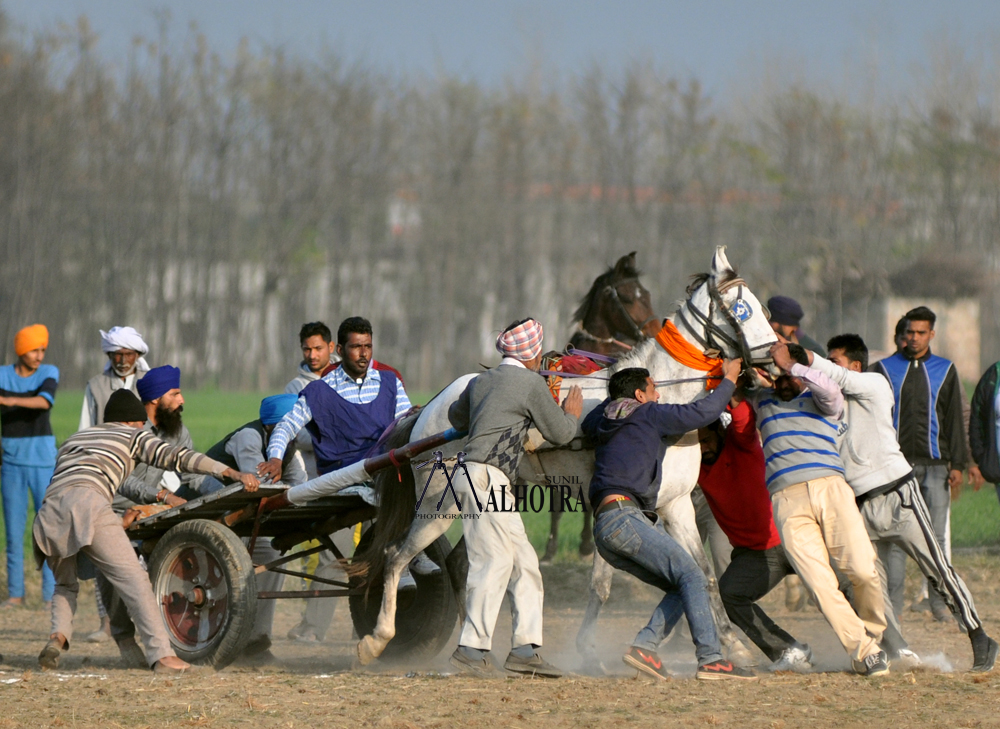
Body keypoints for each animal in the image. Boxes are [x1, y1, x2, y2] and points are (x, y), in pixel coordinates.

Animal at [356, 247, 776, 668]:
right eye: (742, 309)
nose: (775, 358)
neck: (663, 403)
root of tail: (430, 408)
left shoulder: (675, 505)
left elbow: (701, 574)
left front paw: (735, 644)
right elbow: (613, 580)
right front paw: (590, 648)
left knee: (460, 566)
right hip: (438, 505)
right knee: (396, 556)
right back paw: (378, 639)